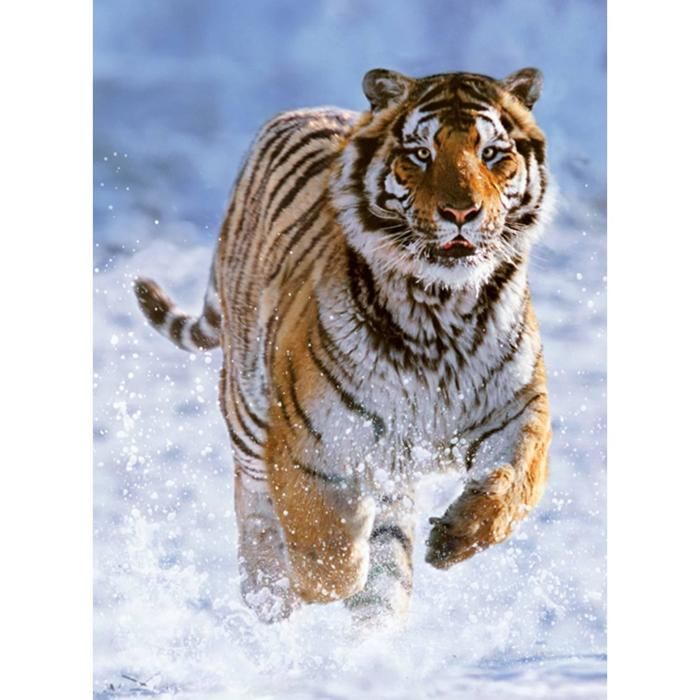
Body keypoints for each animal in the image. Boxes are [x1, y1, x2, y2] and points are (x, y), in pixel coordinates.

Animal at [134, 67, 553, 625]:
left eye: (491, 153)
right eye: (421, 153)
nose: (462, 212)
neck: (439, 310)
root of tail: (302, 110)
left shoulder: (519, 409)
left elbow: (515, 483)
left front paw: (454, 538)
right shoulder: (307, 442)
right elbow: (328, 558)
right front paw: (306, 581)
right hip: (248, 412)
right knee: (254, 507)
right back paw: (268, 596)